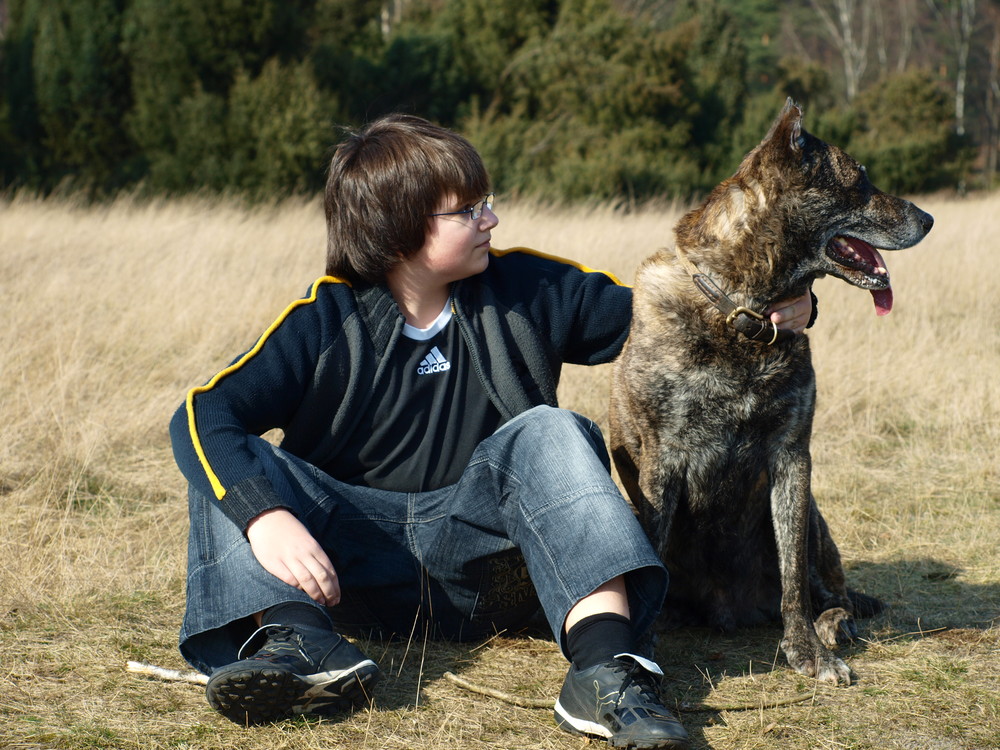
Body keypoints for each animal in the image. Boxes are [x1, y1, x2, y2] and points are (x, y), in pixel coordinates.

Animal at [612, 100, 932, 688]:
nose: (928, 219)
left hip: (816, 517)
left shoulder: (792, 459)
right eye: (860, 180)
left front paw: (807, 651)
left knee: (831, 591)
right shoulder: (662, 466)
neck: (746, 314)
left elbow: (793, 578)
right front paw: (640, 647)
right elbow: (650, 568)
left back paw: (833, 624)